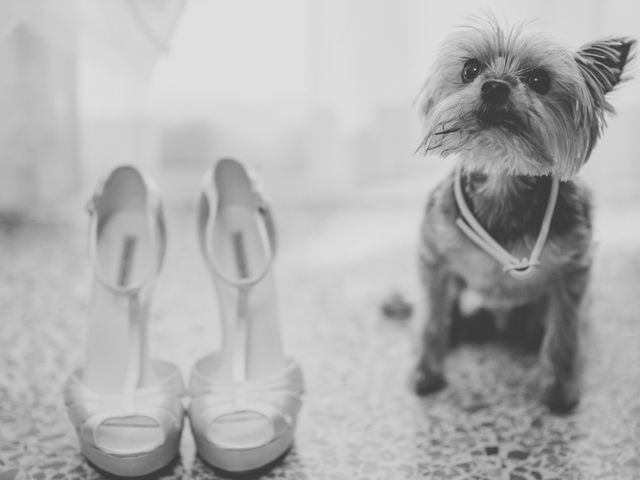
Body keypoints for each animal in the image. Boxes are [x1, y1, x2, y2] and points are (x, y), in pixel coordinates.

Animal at [412, 18, 632, 412]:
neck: (503, 174)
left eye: (539, 80)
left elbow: (563, 333)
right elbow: (432, 319)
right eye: (470, 69)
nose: (495, 85)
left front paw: (559, 391)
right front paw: (427, 372)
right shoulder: (433, 255)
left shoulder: (572, 271)